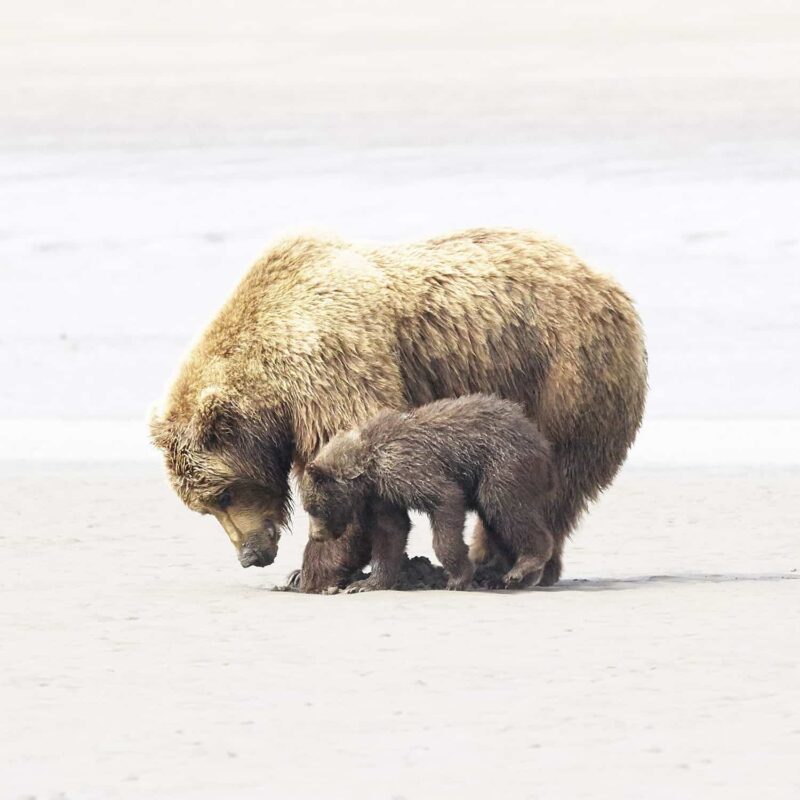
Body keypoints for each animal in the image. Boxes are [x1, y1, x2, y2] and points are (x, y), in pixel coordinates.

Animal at [299, 394, 556, 592]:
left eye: (314, 508)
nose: (316, 535)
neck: (369, 466)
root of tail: (541, 440)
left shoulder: (406, 468)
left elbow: (445, 500)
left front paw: (457, 578)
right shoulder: (382, 495)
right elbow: (389, 532)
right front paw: (366, 583)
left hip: (503, 464)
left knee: (506, 509)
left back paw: (523, 565)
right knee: (497, 524)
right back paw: (513, 577)